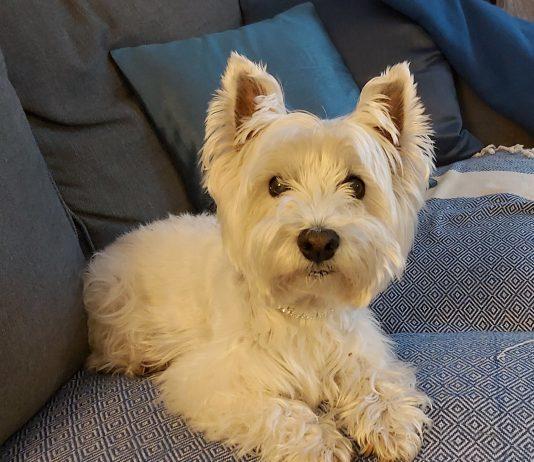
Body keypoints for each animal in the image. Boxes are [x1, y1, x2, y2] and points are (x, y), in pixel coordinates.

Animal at [84, 53, 434, 462]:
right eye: (276, 185)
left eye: (357, 185)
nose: (318, 241)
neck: (303, 308)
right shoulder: (210, 382)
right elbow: (279, 412)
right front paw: (321, 444)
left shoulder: (358, 350)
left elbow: (375, 380)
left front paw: (389, 421)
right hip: (116, 301)